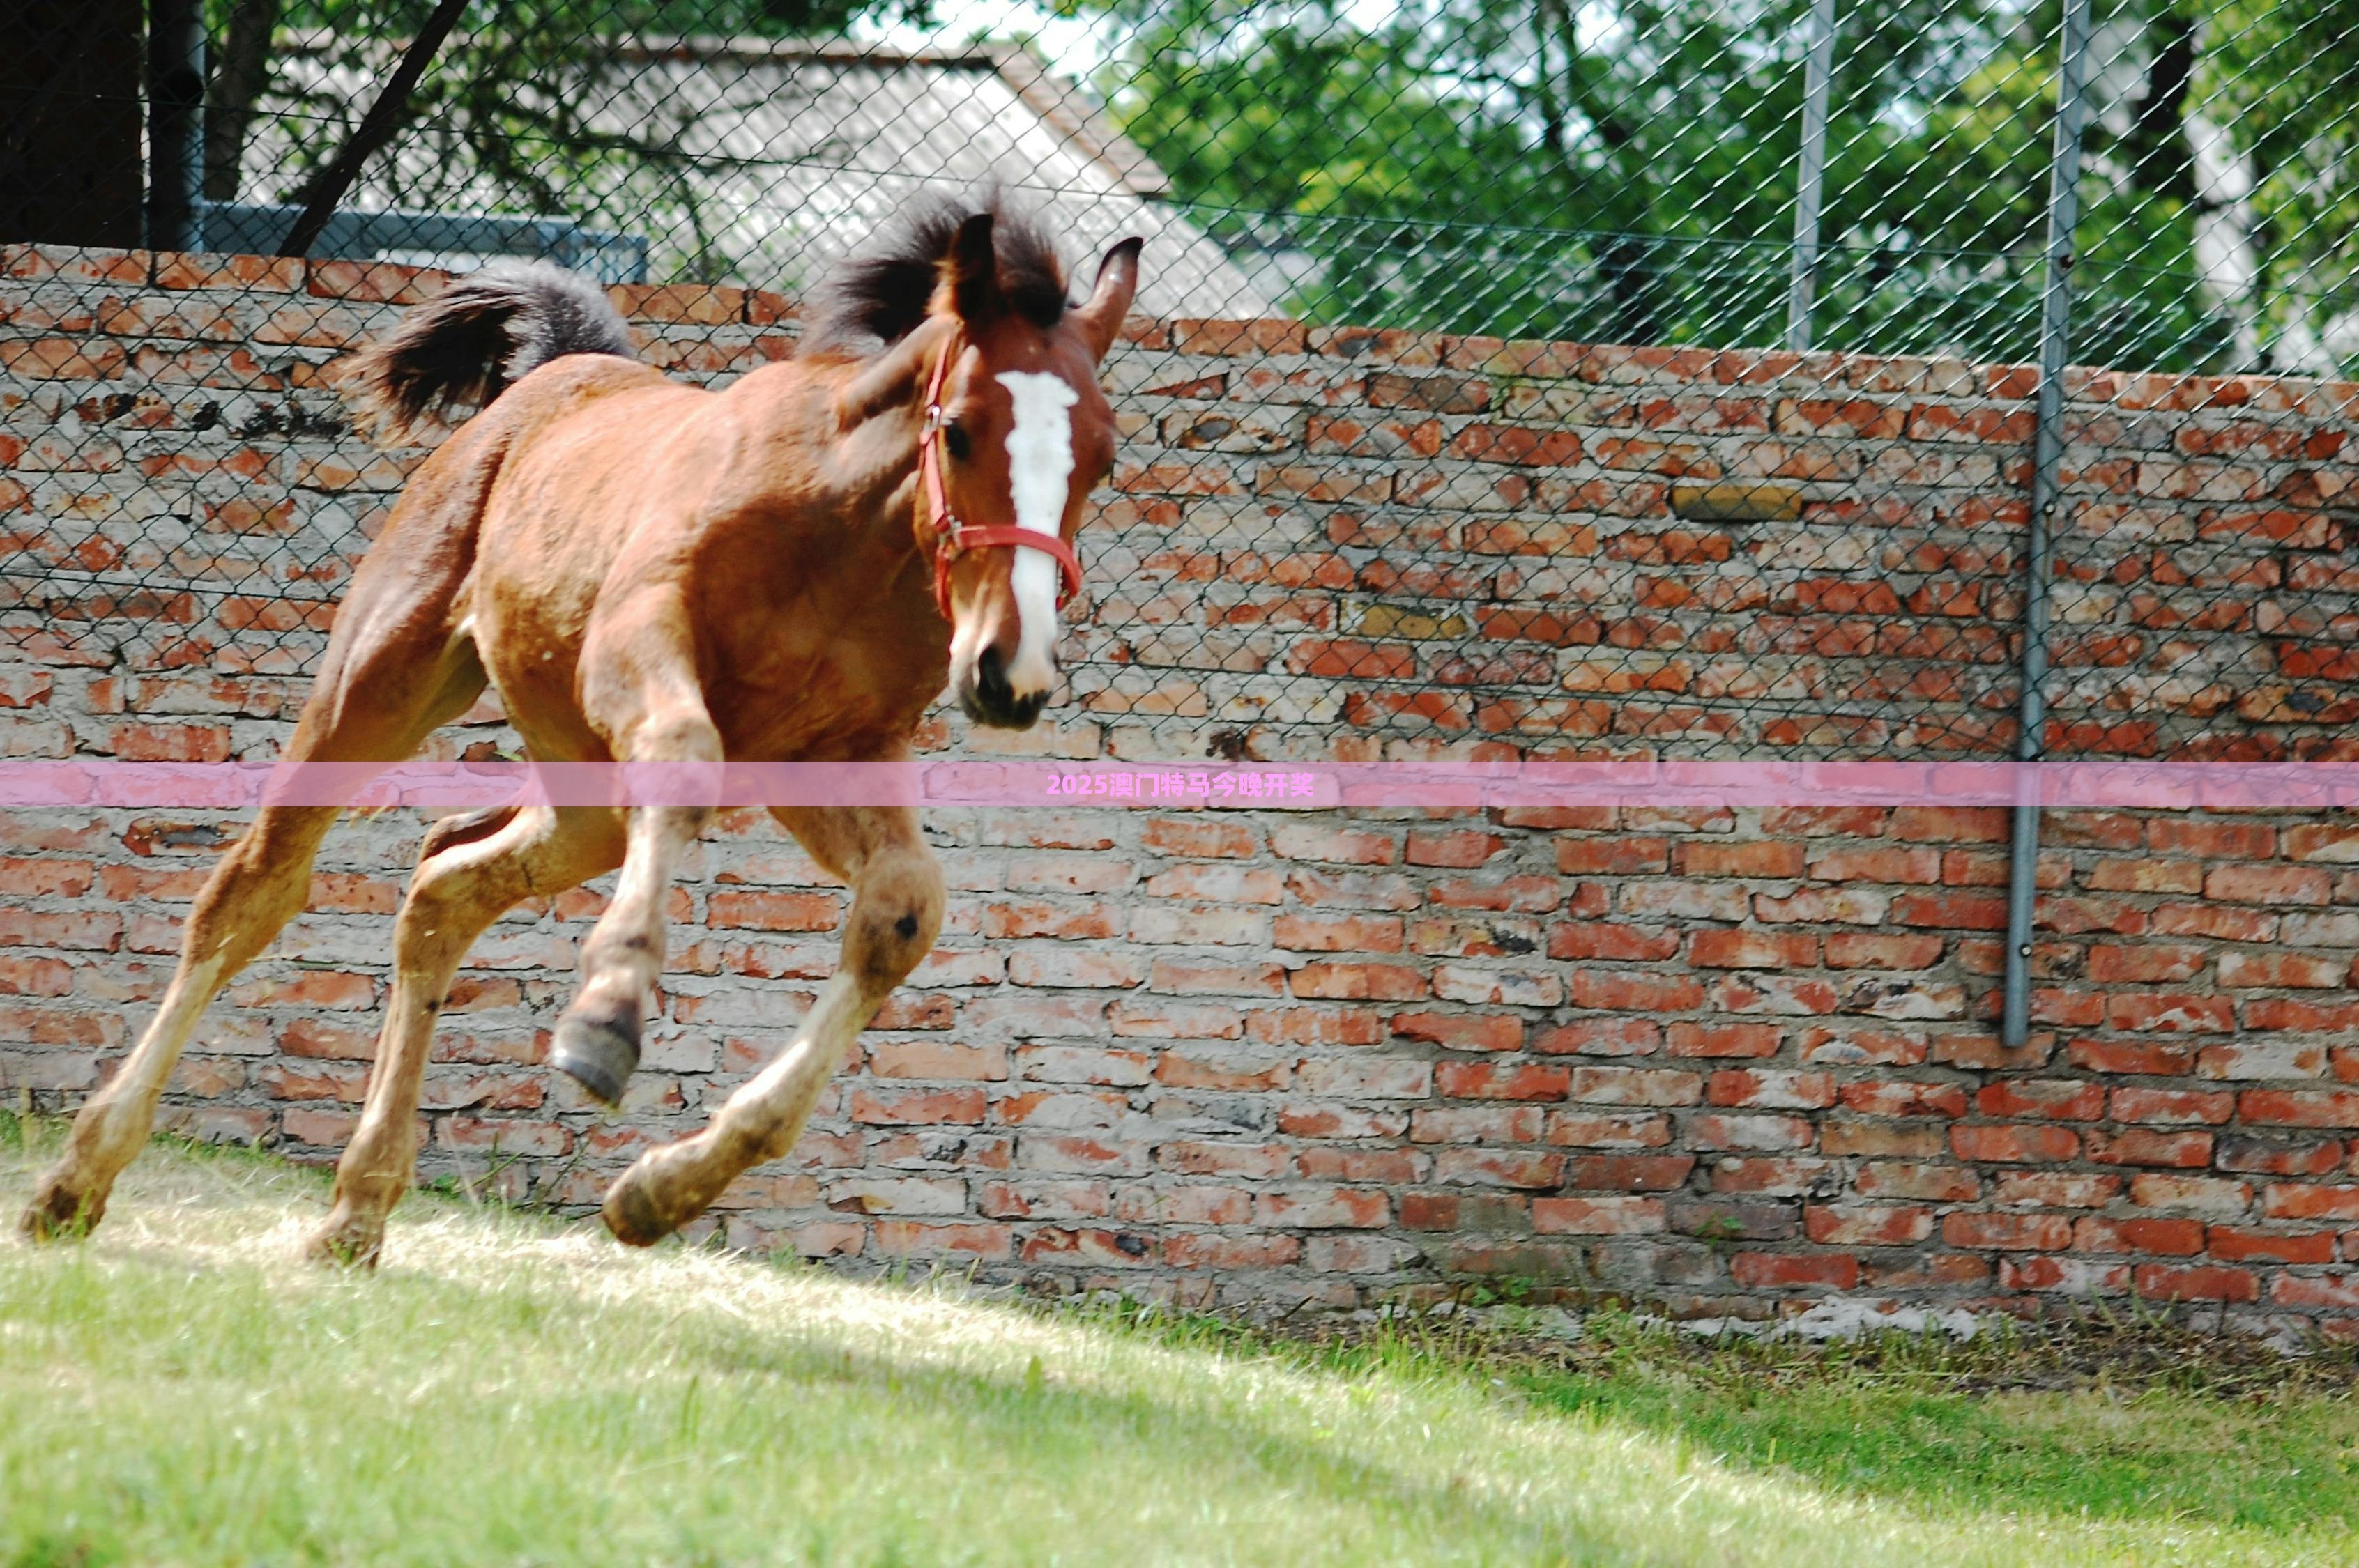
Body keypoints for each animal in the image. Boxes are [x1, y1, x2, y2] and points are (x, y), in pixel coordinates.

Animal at [18, 199, 1141, 1273]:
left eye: (1102, 457)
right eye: (960, 430)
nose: (1010, 673)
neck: (841, 539)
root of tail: (554, 374)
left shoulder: (836, 754)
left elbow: (905, 910)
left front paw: (661, 1190)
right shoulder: (639, 653)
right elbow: (687, 763)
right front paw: (605, 1025)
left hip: (588, 794)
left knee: (444, 887)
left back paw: (357, 1211)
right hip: (381, 684)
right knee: (255, 889)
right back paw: (76, 1182)